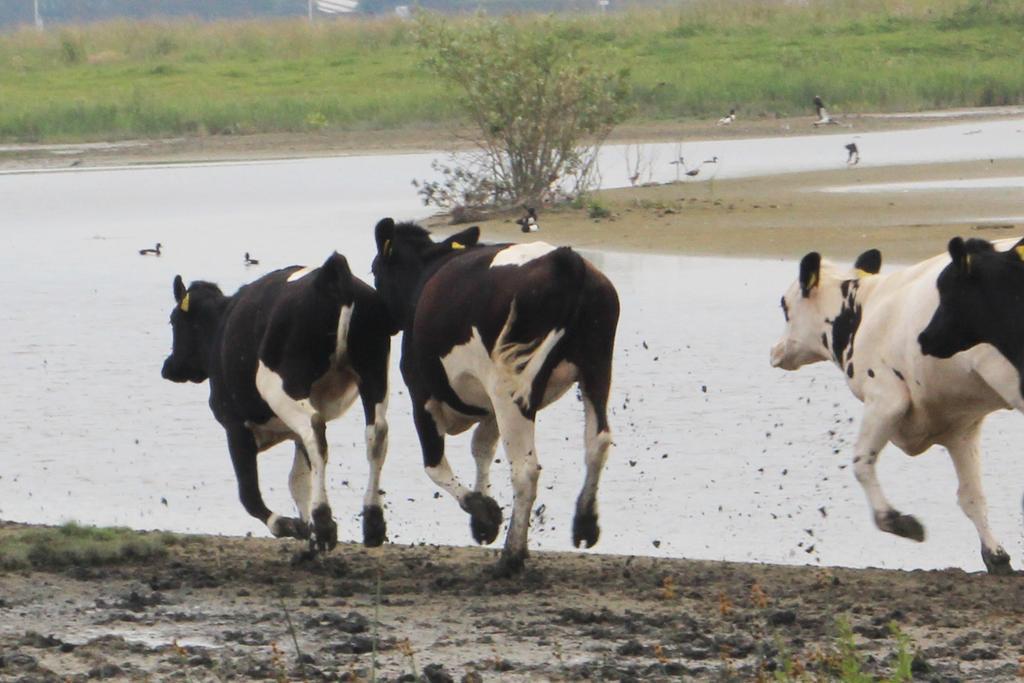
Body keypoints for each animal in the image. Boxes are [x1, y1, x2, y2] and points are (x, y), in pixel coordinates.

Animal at [161, 253, 389, 552]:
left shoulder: (234, 423)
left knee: (316, 430)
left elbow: (249, 492)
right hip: (373, 371)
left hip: (284, 385)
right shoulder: (291, 432)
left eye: (173, 321)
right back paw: (372, 523)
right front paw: (307, 530)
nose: (168, 367)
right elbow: (299, 480)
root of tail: (329, 275)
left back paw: (324, 525)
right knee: (376, 433)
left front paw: (290, 525)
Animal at [372, 219, 618, 577]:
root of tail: (565, 260)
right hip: (596, 368)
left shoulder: (423, 396)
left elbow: (434, 465)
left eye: (375, 270)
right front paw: (483, 518)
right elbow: (482, 447)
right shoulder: (488, 407)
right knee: (597, 442)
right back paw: (585, 524)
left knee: (525, 469)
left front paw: (484, 513)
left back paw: (511, 557)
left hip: (510, 386)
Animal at [770, 242, 1019, 573]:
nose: (775, 351)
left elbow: (861, 463)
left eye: (784, 305)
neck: (862, 310)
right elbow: (971, 496)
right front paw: (997, 557)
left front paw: (899, 522)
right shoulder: (960, 427)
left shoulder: (886, 399)